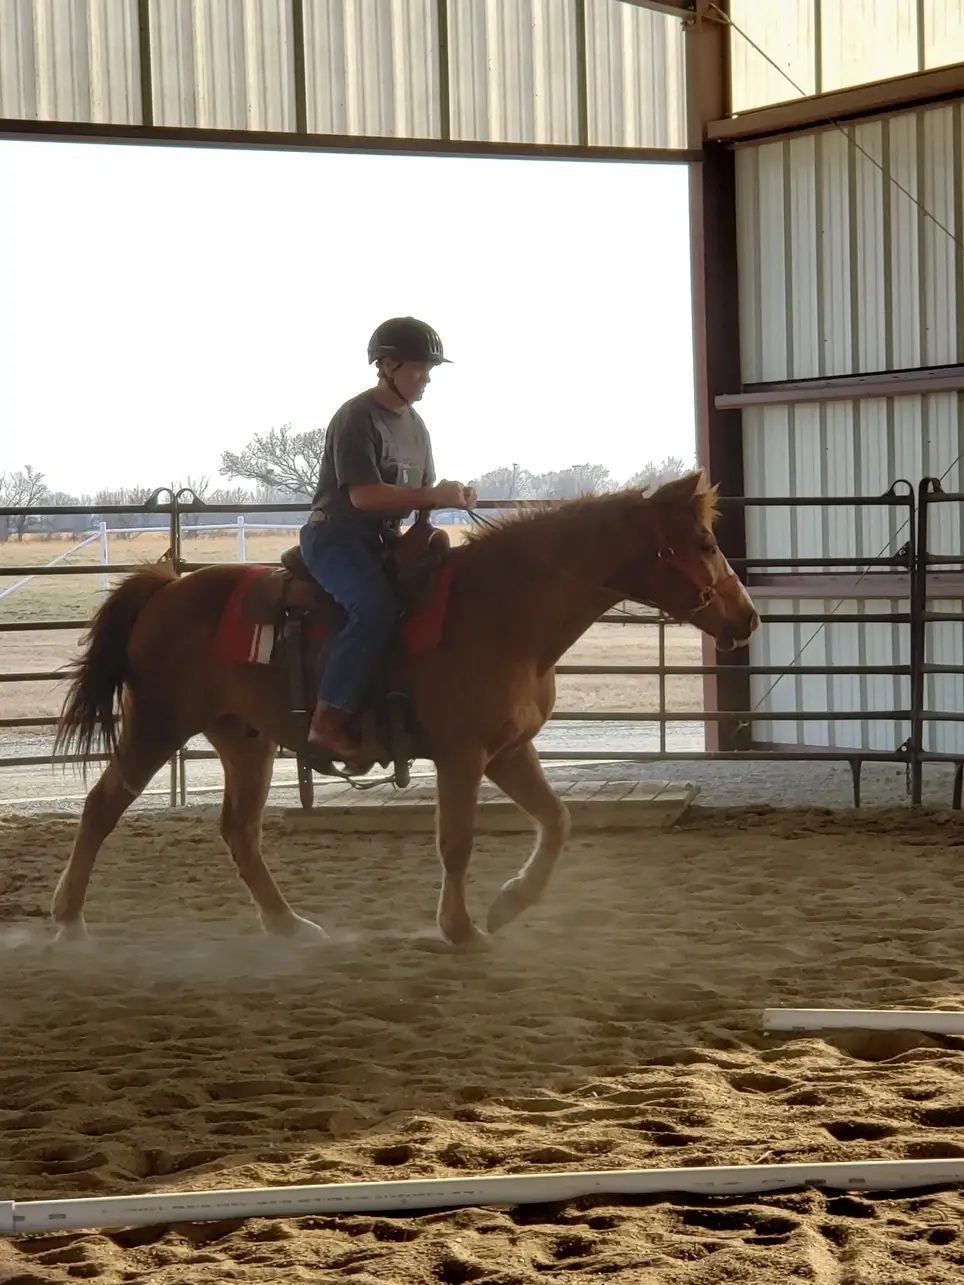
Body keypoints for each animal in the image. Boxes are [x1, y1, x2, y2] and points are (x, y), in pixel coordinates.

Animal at [51, 469, 759, 949]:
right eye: (702, 541)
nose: (747, 617)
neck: (505, 609)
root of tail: (166, 588)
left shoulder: (508, 750)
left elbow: (556, 820)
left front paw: (509, 905)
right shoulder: (463, 756)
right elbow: (456, 841)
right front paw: (461, 928)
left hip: (244, 738)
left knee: (240, 832)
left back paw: (289, 925)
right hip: (157, 723)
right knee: (102, 807)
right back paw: (69, 921)